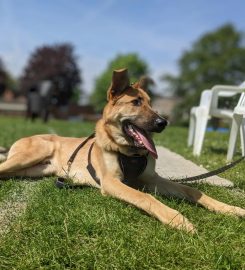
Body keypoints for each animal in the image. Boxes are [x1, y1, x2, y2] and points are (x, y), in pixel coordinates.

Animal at [0, 68, 245, 233]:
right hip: (31, 155)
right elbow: (145, 197)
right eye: (136, 102)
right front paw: (177, 219)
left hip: (33, 169)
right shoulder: (111, 182)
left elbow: (192, 190)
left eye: (150, 103)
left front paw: (230, 209)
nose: (163, 123)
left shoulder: (152, 178)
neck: (130, 151)